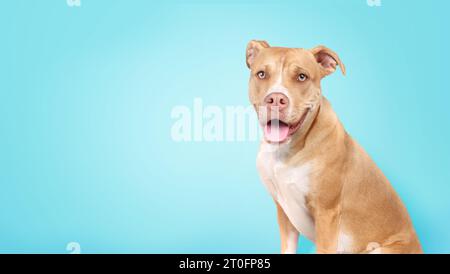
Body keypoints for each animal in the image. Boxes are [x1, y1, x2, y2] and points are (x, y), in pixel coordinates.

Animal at [246, 40, 422, 255]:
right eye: (261, 74)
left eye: (302, 77)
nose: (276, 99)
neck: (288, 150)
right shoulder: (284, 212)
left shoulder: (326, 214)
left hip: (381, 249)